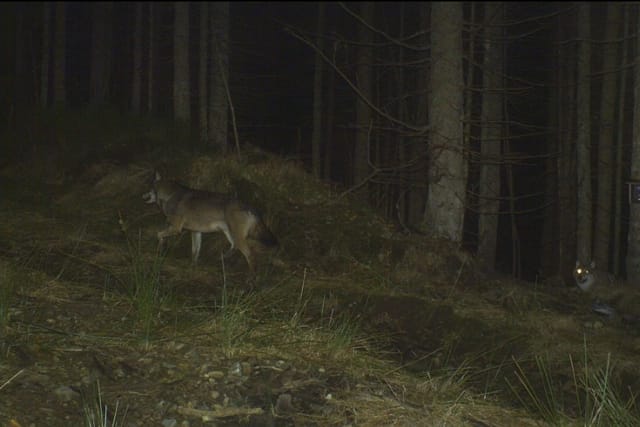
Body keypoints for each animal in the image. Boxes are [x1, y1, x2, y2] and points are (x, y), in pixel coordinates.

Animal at [143, 172, 277, 270]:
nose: (142, 196)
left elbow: (159, 234)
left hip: (237, 237)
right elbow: (195, 252)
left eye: (148, 189)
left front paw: (161, 248)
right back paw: (222, 258)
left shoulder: (176, 229)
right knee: (233, 247)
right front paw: (192, 266)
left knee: (250, 255)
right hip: (229, 234)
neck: (170, 195)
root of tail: (249, 206)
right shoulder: (196, 232)